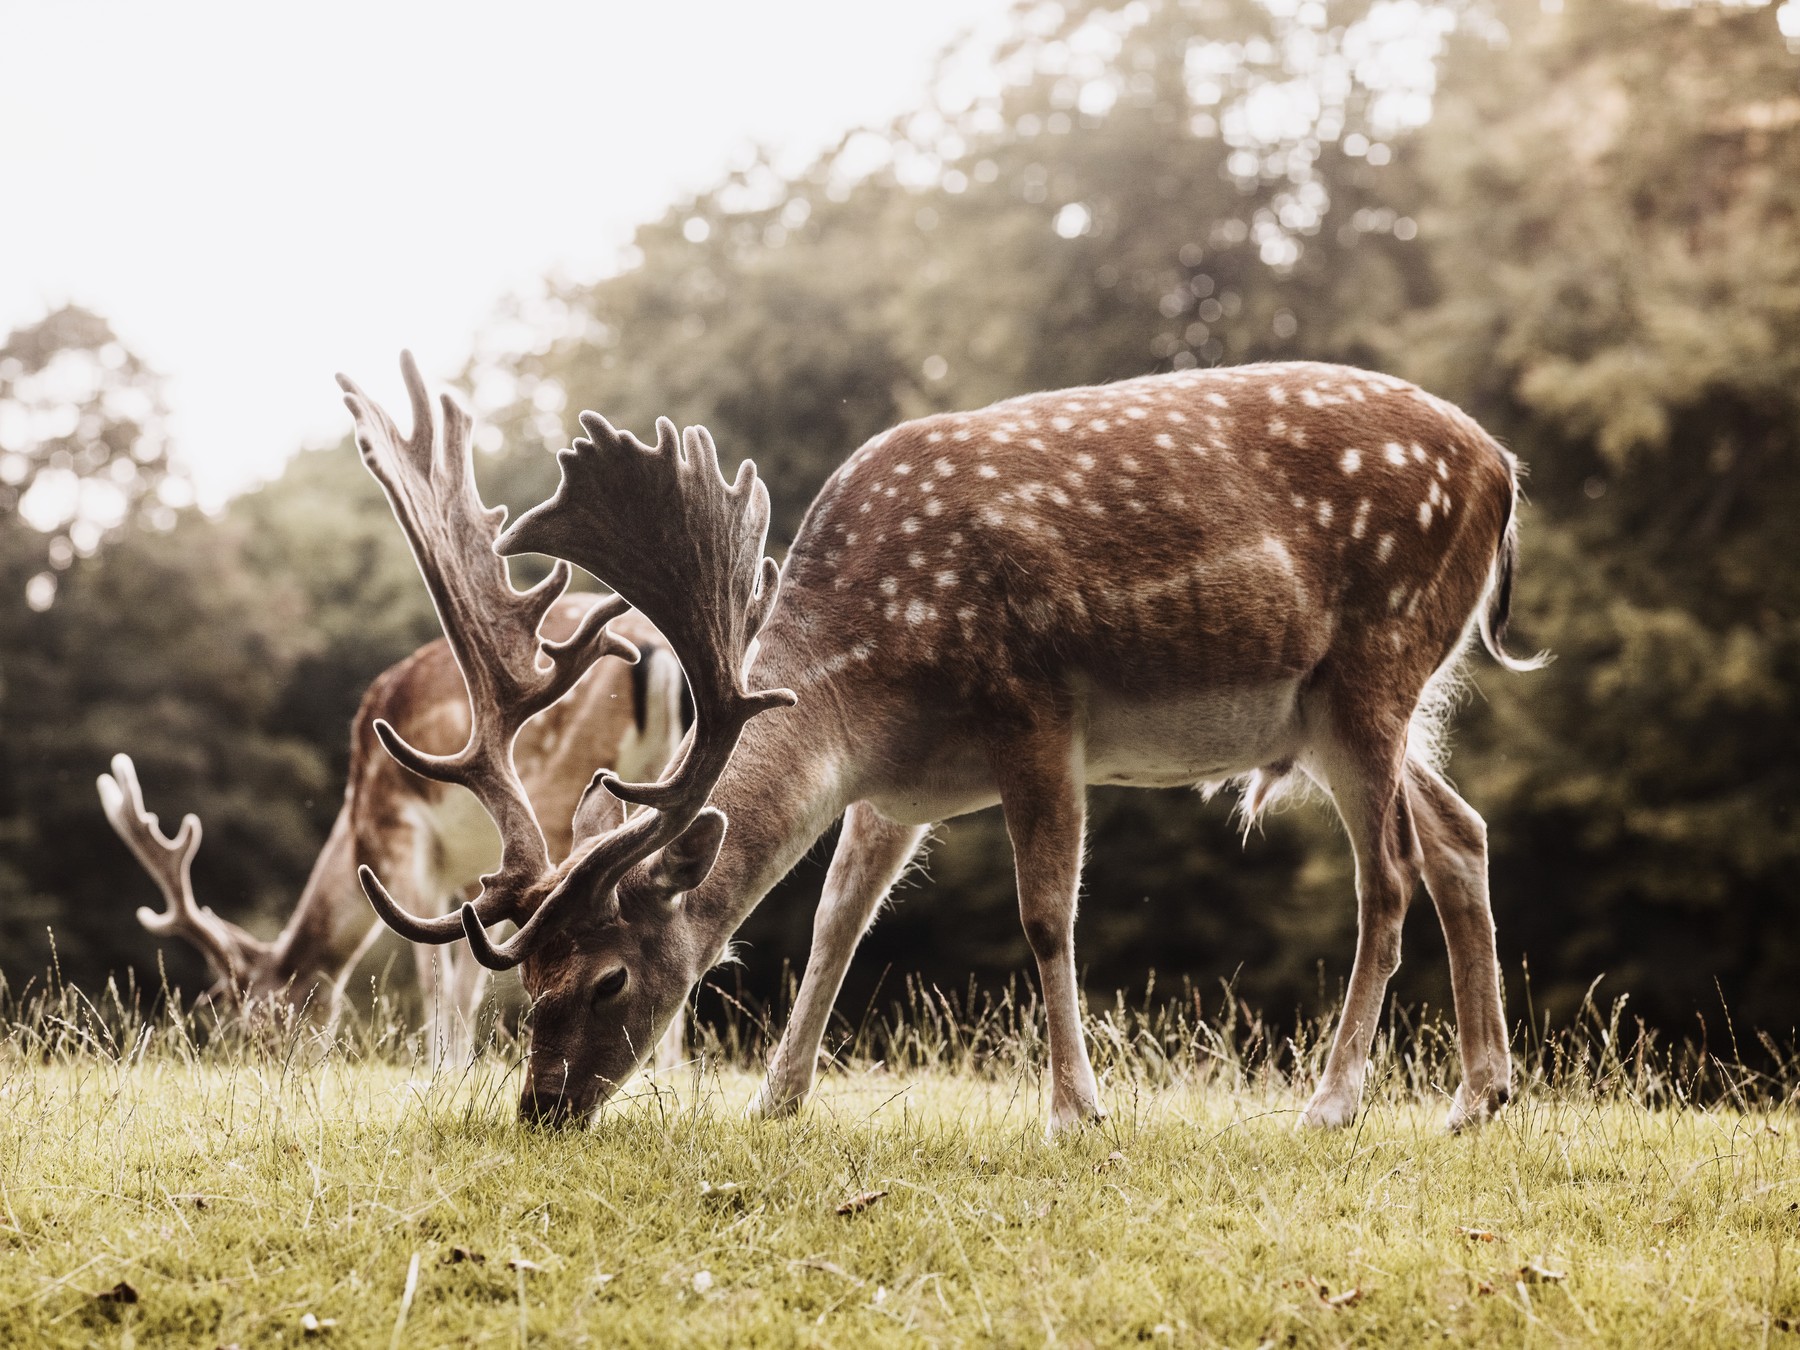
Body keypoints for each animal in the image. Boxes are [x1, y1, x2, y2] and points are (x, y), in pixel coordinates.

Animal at [100, 550, 687, 1065]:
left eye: (263, 1020)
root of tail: (654, 655)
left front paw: (439, 1076)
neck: (354, 820)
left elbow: (439, 976)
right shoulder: (468, 872)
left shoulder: (403, 837)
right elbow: (464, 974)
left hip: (558, 793)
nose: (265, 1067)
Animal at [338, 354, 1533, 1137]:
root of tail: (1504, 472)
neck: (869, 694)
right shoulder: (894, 790)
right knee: (1463, 832)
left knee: (1390, 870)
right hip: (1348, 706)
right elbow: (836, 917)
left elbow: (1045, 915)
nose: (540, 1107)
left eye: (606, 981)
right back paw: (1479, 1095)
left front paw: (1075, 1112)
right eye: (527, 979)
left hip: (1376, 658)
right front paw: (775, 1099)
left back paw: (1333, 1102)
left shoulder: (1037, 707)